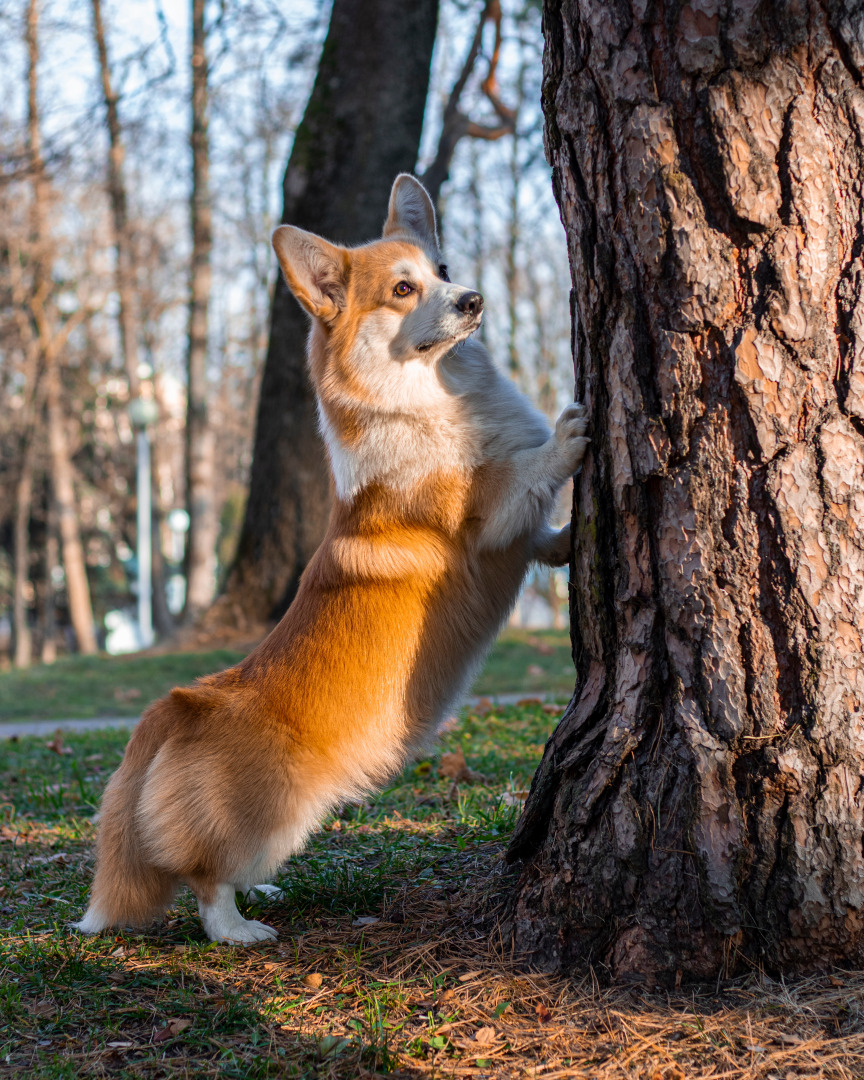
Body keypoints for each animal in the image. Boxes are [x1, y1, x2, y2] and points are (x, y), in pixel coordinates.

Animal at [76, 172, 587, 941]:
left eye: (442, 269)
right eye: (403, 289)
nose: (472, 299)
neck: (437, 396)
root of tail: (180, 706)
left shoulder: (518, 535)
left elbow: (544, 537)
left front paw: (573, 535)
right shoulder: (485, 518)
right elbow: (527, 475)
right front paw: (571, 433)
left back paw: (261, 893)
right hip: (271, 816)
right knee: (203, 879)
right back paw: (240, 928)